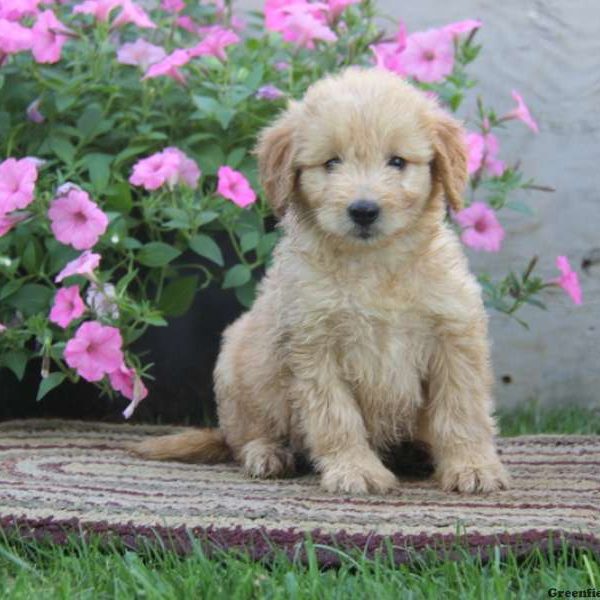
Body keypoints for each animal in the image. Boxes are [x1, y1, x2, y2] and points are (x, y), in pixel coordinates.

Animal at [132, 68, 510, 494]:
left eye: (397, 161)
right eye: (331, 162)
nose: (364, 210)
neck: (374, 265)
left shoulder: (454, 336)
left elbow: (462, 410)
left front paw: (472, 466)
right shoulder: (314, 347)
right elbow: (336, 416)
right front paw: (355, 468)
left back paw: (417, 451)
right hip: (237, 366)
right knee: (242, 436)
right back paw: (268, 454)